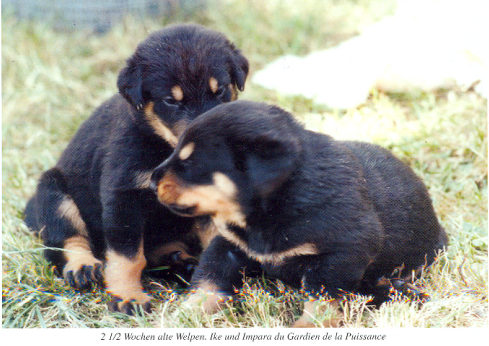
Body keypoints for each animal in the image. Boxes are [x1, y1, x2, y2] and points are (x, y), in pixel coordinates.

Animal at [23, 23, 248, 314]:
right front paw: (128, 296)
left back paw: (181, 261)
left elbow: (216, 245)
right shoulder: (123, 197)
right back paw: (83, 266)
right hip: (53, 190)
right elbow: (128, 257)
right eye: (171, 100)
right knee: (64, 241)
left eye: (219, 90)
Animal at [151, 100, 448, 328]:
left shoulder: (341, 255)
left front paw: (307, 328)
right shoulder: (229, 245)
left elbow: (323, 301)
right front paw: (180, 317)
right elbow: (208, 284)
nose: (152, 180)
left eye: (190, 162)